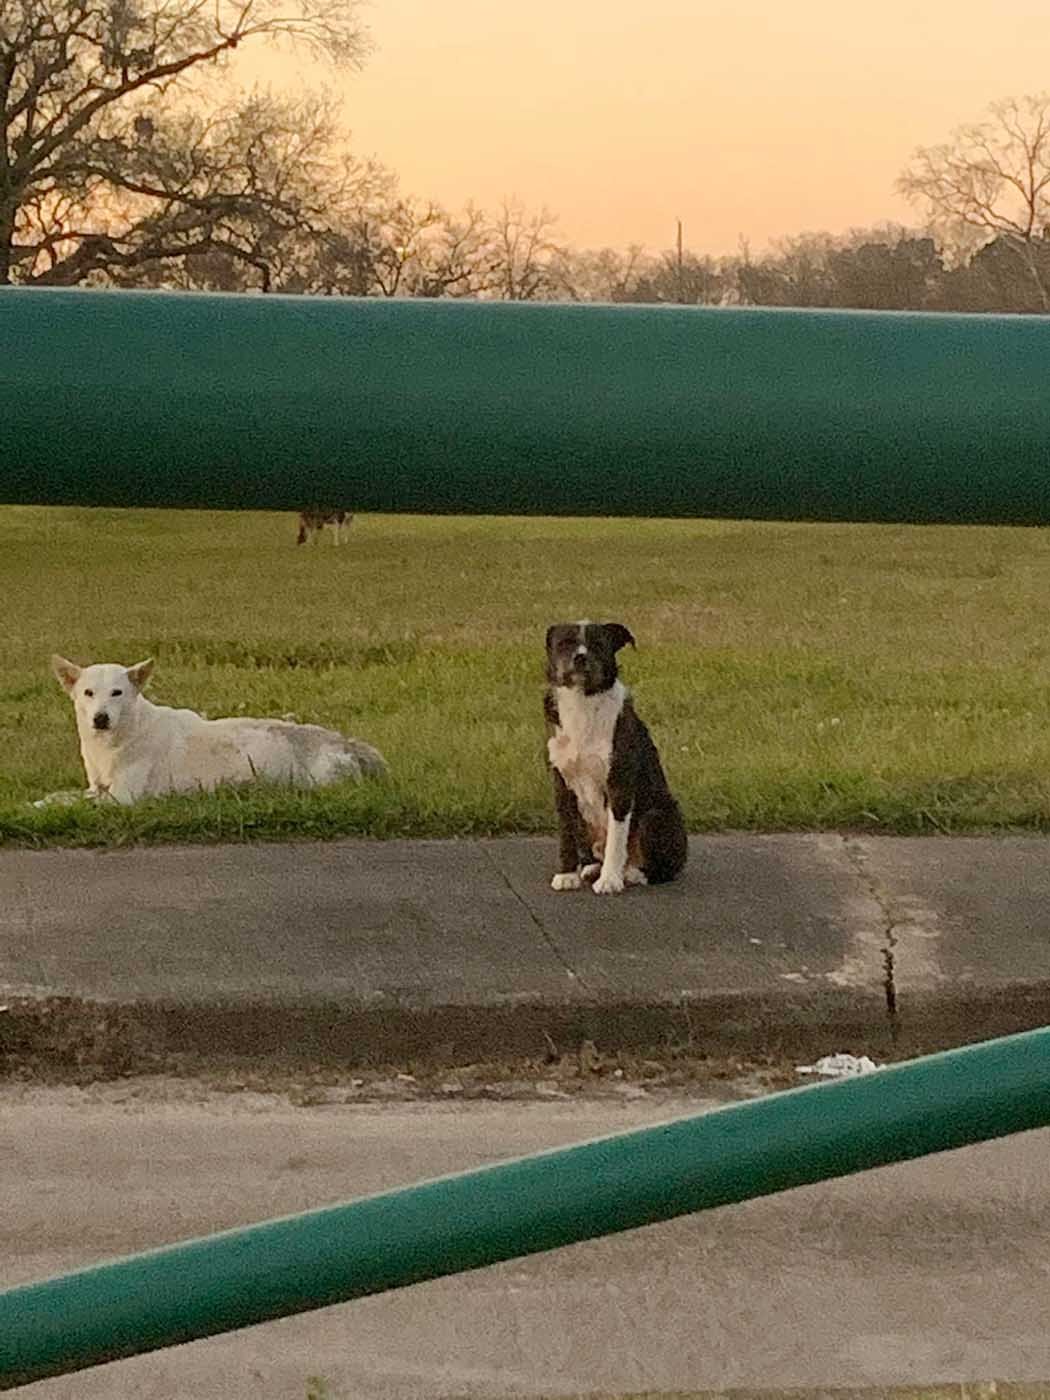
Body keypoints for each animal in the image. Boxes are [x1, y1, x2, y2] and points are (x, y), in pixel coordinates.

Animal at [40, 658, 392, 812]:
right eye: (88, 693)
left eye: (117, 693)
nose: (100, 718)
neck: (119, 739)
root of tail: (350, 743)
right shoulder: (97, 786)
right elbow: (63, 796)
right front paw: (42, 801)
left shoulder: (122, 797)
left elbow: (74, 803)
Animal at [543, 624, 691, 896]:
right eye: (565, 643)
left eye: (598, 643)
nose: (580, 658)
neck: (584, 701)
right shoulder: (562, 784)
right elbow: (566, 834)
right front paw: (567, 875)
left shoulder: (619, 783)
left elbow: (616, 837)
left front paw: (610, 880)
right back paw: (592, 868)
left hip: (655, 817)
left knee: (661, 868)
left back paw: (631, 873)